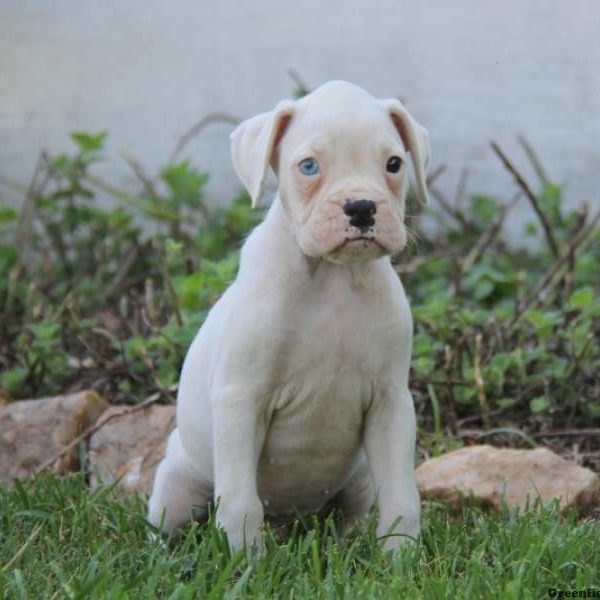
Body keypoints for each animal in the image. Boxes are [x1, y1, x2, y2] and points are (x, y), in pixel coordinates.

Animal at [150, 81, 432, 552]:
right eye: (309, 166)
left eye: (393, 163)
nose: (361, 207)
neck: (333, 279)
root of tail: (289, 524)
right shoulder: (241, 400)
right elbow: (241, 504)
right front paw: (245, 561)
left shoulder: (391, 403)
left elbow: (401, 498)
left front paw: (401, 559)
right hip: (177, 484)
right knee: (169, 525)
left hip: (358, 480)